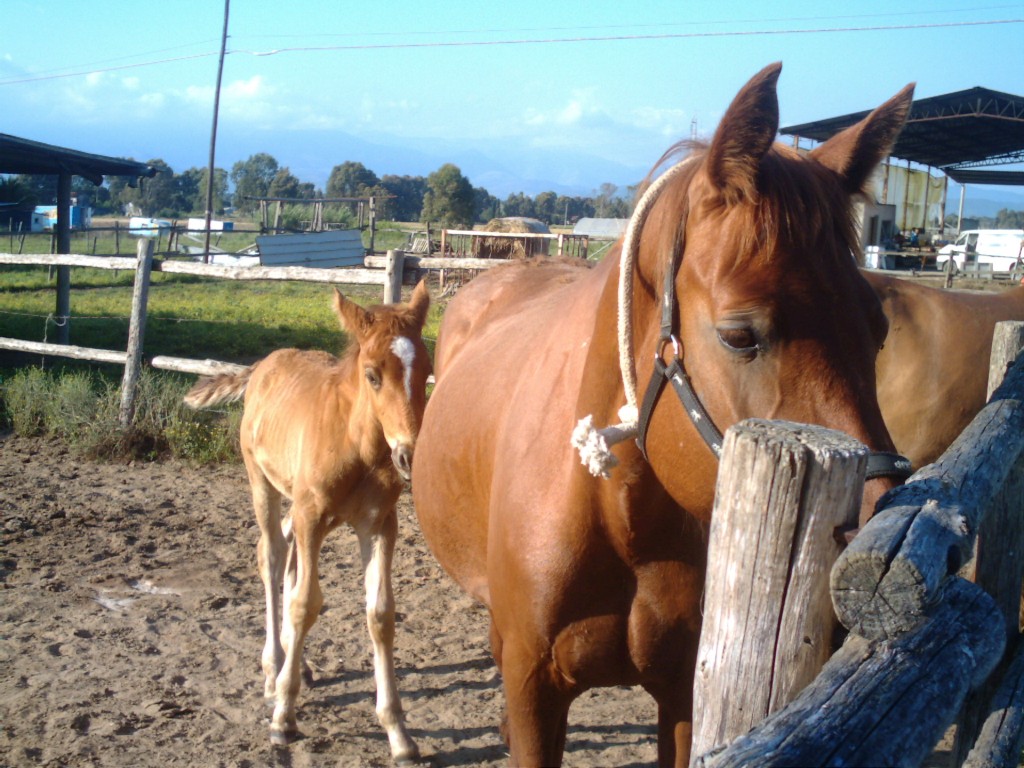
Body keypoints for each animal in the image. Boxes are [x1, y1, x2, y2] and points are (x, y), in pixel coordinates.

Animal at [411, 63, 917, 765]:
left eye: (877, 329)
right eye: (739, 335)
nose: (880, 531)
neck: (618, 516)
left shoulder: (681, 692)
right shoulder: (536, 689)